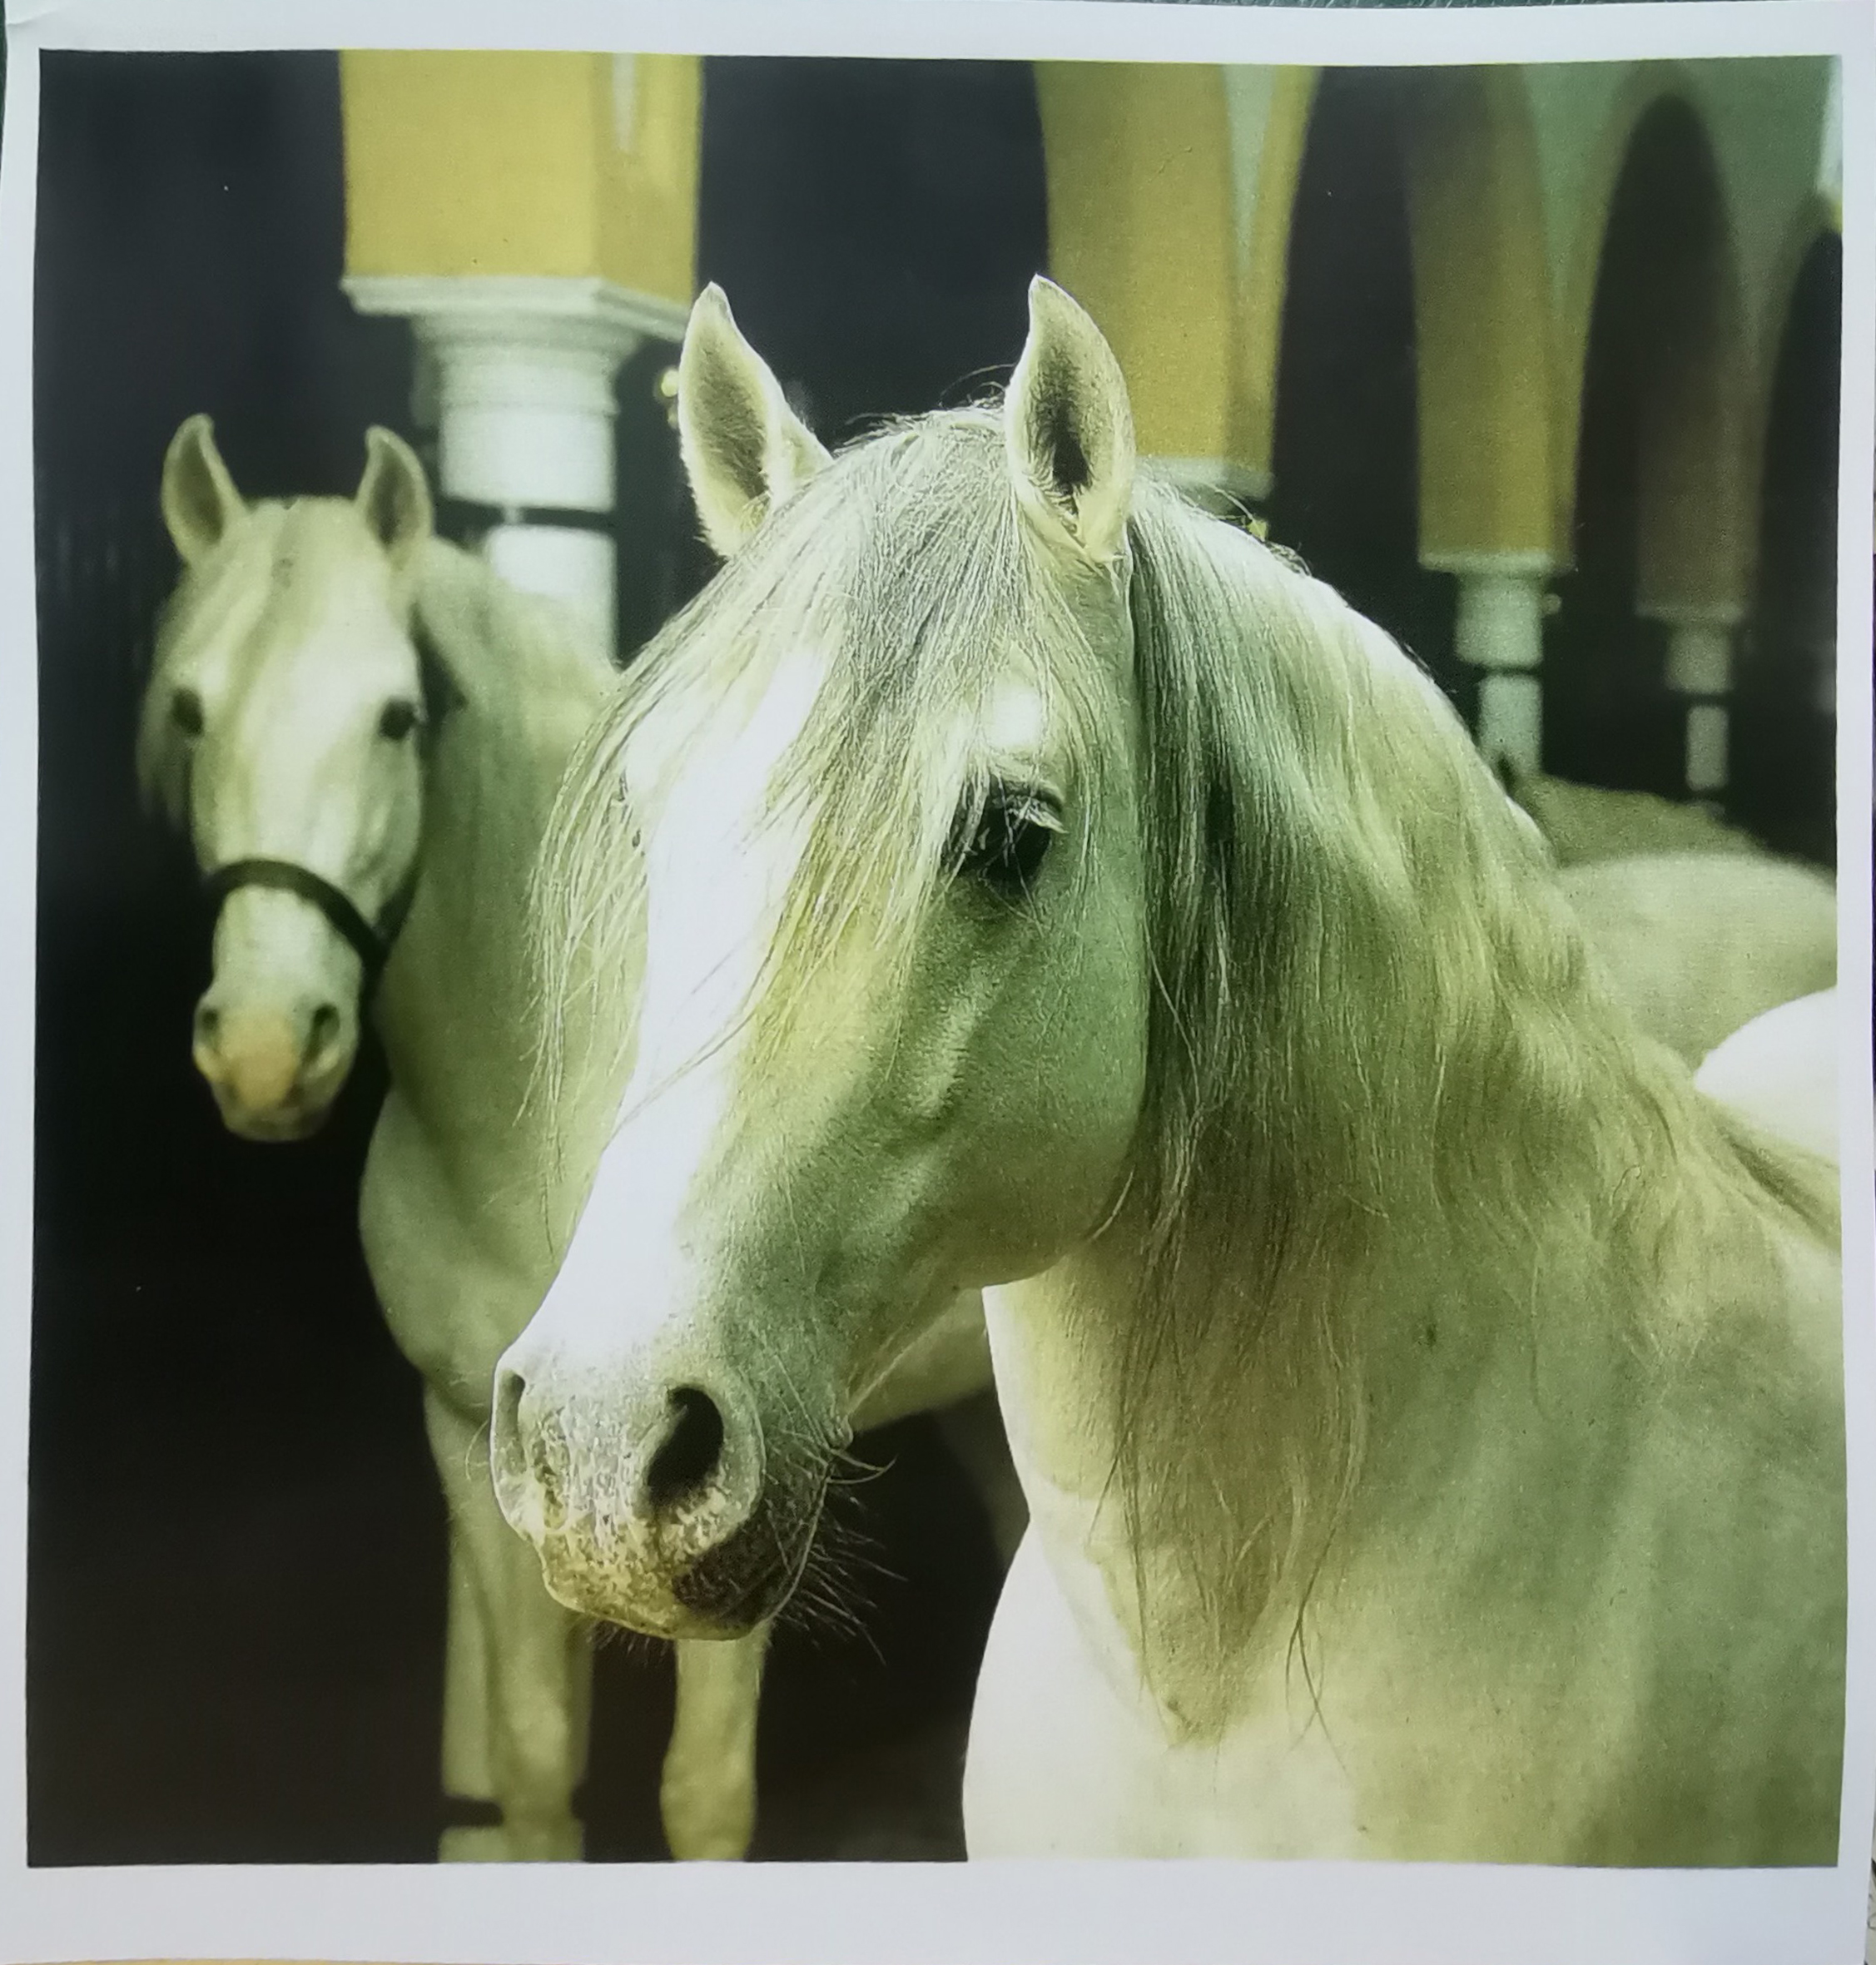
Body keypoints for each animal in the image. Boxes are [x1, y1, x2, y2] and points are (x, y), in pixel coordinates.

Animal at [138, 417, 1016, 1861]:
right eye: (192, 711)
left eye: (396, 715)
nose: (266, 1049)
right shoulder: (470, 1444)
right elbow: (532, 1760)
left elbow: (702, 1796)